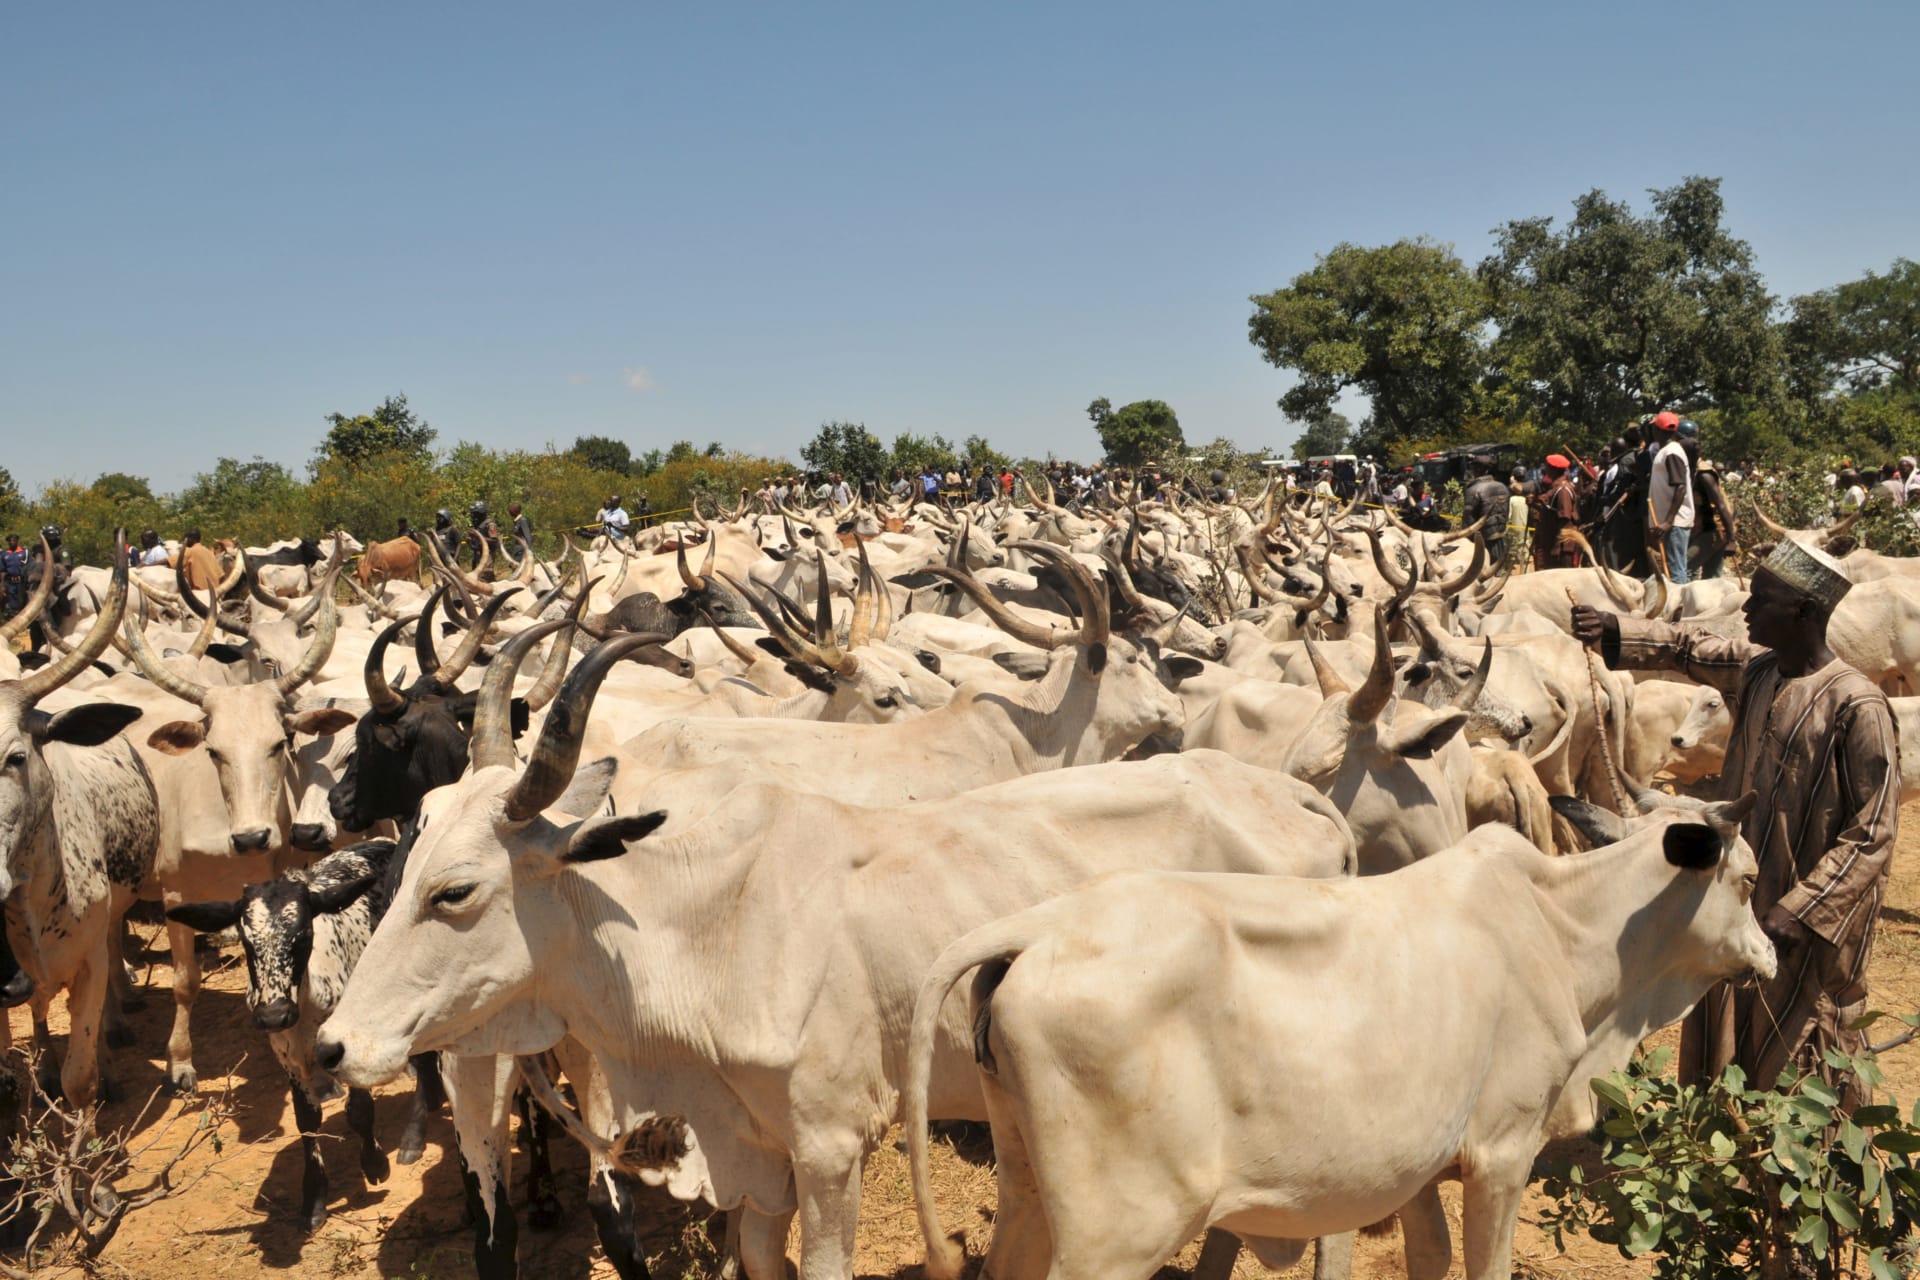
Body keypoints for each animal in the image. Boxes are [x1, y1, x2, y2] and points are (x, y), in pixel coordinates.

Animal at [903, 791, 1772, 1280]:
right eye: (1749, 881)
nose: (1766, 952)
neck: (1564, 929)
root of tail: (1041, 926)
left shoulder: (1420, 1166)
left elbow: (1430, 1259)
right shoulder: (1503, 1150)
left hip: (1025, 1187)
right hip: (1117, 1234)